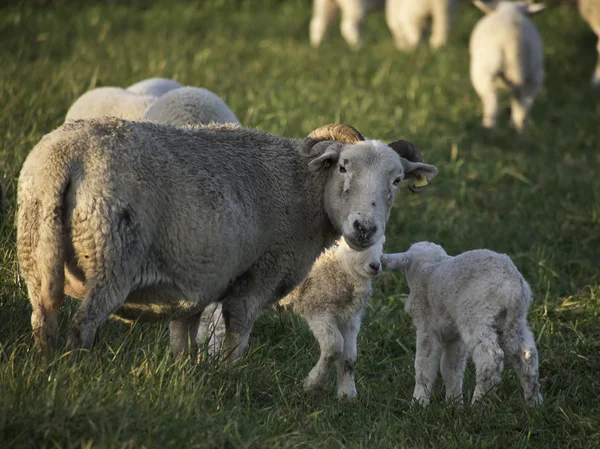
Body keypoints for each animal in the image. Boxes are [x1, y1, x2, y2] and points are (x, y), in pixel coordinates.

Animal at [17, 119, 436, 356]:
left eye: (397, 180)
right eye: (344, 167)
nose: (365, 228)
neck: (303, 187)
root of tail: (66, 157)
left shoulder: (193, 282)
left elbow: (181, 341)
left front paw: (183, 377)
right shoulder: (258, 277)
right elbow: (238, 338)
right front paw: (229, 376)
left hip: (35, 248)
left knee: (43, 317)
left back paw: (48, 369)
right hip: (111, 258)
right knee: (82, 327)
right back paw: (77, 369)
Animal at [280, 236, 386, 398]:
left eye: (382, 242)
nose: (375, 266)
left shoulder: (350, 318)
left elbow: (349, 357)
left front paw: (347, 394)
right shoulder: (317, 308)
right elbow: (334, 346)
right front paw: (314, 384)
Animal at [384, 242, 544, 406]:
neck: (428, 266)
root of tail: (513, 285)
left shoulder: (427, 328)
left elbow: (424, 366)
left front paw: (418, 402)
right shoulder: (454, 337)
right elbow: (451, 368)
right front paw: (454, 403)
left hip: (476, 313)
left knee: (490, 357)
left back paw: (478, 403)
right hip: (514, 320)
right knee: (527, 355)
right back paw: (534, 401)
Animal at [472, 1, 548, 133]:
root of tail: (514, 40)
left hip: (486, 70)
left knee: (492, 102)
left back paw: (488, 130)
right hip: (534, 75)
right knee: (523, 107)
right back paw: (520, 131)